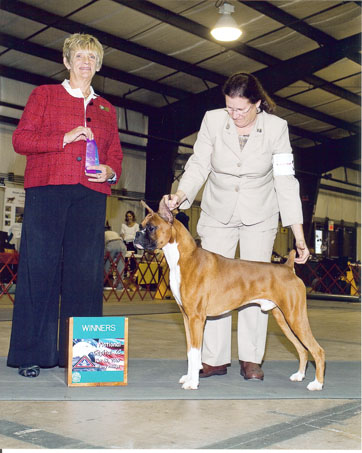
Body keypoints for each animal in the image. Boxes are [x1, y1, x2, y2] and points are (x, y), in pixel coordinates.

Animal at [134, 200, 326, 390]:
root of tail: (288, 267)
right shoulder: (186, 318)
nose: (136, 234)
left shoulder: (196, 318)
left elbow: (196, 352)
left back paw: (317, 384)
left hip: (295, 317)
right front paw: (189, 377)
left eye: (151, 227)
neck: (184, 258)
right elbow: (190, 352)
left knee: (317, 350)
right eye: (141, 225)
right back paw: (299, 375)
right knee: (302, 349)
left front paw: (193, 382)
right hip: (283, 318)